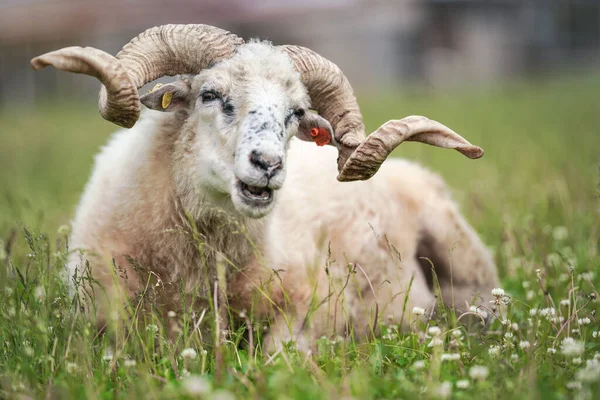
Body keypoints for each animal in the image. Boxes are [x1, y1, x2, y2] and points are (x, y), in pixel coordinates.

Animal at [31, 24, 496, 350]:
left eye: (296, 113)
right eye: (209, 94)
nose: (268, 164)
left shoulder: (311, 303)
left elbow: (278, 354)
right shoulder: (100, 321)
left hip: (463, 251)